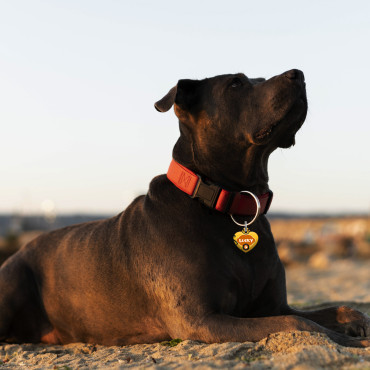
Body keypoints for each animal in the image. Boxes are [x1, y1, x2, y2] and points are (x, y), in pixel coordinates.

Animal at [0, 70, 370, 346]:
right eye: (236, 83)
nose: (299, 74)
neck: (230, 204)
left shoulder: (272, 305)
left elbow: (331, 311)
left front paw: (356, 322)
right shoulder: (202, 319)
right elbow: (300, 325)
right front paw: (353, 342)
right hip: (13, 283)